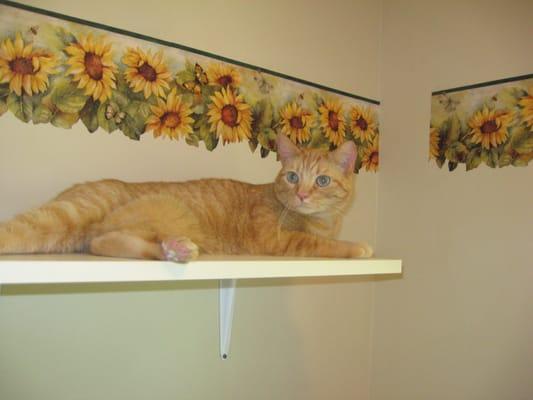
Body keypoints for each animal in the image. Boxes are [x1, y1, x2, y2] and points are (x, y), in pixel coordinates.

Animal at [0, 133, 372, 260]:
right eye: (293, 177)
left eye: (322, 180)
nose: (303, 194)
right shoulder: (277, 240)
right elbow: (324, 245)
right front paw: (357, 247)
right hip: (76, 212)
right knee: (99, 240)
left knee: (104, 242)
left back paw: (173, 251)